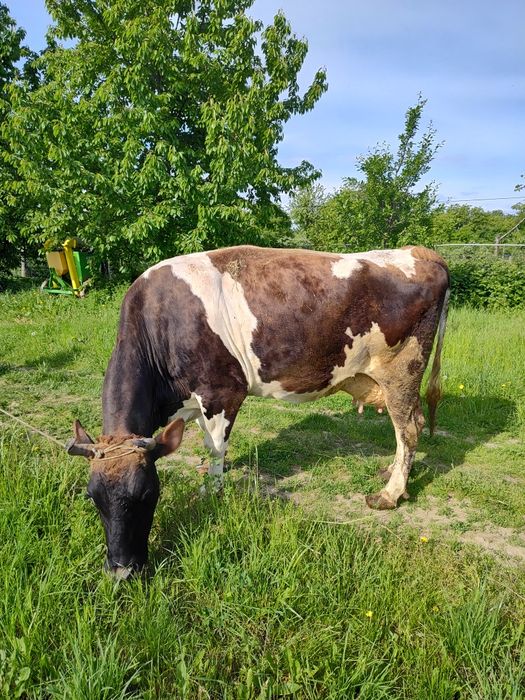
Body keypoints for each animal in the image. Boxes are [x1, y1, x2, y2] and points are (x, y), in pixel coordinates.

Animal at [66, 245, 449, 578]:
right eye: (92, 497)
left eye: (148, 495)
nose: (121, 571)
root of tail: (420, 251)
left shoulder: (222, 393)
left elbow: (215, 447)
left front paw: (212, 490)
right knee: (412, 425)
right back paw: (392, 472)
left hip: (402, 370)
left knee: (408, 429)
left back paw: (389, 494)